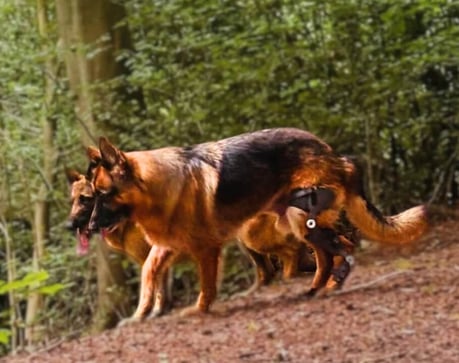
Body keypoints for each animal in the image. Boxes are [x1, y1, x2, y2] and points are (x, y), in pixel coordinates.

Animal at [88, 129, 430, 318]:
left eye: (103, 194)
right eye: (91, 195)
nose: (89, 228)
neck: (158, 187)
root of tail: (335, 155)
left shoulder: (206, 249)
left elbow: (206, 286)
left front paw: (199, 311)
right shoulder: (167, 246)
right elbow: (149, 271)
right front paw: (142, 312)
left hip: (301, 219)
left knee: (341, 247)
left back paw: (332, 285)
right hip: (295, 224)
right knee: (325, 256)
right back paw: (317, 289)